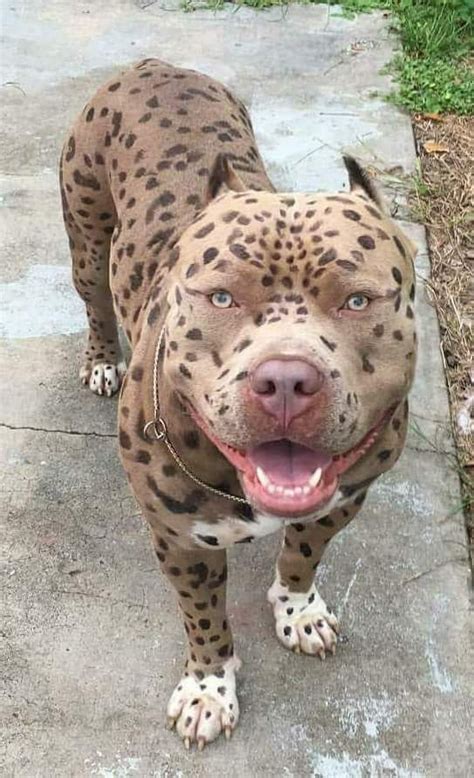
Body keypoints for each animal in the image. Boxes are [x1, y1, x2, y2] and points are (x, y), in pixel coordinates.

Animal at [58, 57, 414, 748]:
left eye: (357, 300)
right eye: (221, 297)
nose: (285, 380)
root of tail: (154, 65)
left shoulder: (344, 498)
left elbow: (303, 554)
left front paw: (299, 608)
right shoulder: (182, 542)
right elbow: (204, 618)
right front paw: (208, 686)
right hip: (85, 236)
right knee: (94, 299)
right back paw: (101, 358)